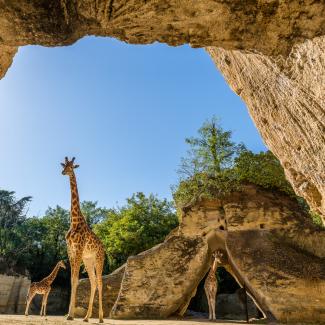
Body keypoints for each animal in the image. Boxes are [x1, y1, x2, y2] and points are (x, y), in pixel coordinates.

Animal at [61, 157, 105, 322]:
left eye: (72, 166)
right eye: (64, 165)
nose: (63, 172)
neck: (74, 221)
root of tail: (104, 249)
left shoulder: (78, 249)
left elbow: (76, 279)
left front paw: (71, 314)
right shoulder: (71, 250)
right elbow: (72, 280)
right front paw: (69, 314)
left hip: (98, 260)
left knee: (99, 282)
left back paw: (100, 318)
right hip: (88, 260)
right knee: (93, 282)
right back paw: (86, 317)